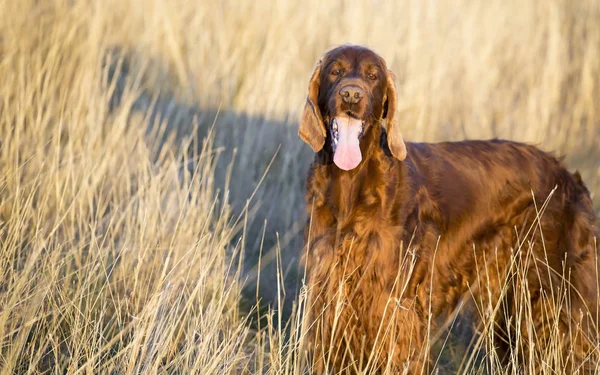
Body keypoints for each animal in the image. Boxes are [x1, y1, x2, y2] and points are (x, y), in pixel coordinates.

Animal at [298, 45, 596, 374]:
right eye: (335, 71)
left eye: (372, 75)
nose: (351, 95)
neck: (353, 183)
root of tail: (567, 176)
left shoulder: (394, 304)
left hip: (548, 290)